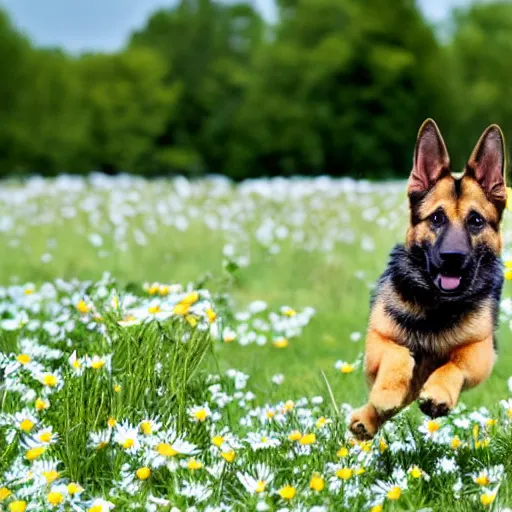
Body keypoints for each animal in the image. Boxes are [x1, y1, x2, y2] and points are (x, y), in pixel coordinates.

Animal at [350, 120, 506, 440]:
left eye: (475, 221)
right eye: (436, 218)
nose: (452, 258)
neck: (437, 305)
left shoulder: (482, 350)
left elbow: (455, 364)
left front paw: (438, 394)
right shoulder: (377, 341)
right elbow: (398, 353)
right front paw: (386, 392)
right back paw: (367, 417)